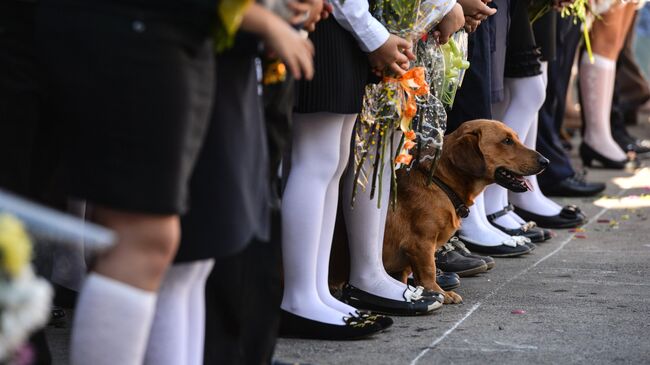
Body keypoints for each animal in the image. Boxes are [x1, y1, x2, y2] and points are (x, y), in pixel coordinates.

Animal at [380, 118, 548, 302]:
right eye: (507, 141)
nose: (546, 161)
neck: (441, 183)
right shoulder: (421, 243)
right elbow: (429, 271)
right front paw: (437, 293)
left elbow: (406, 276)